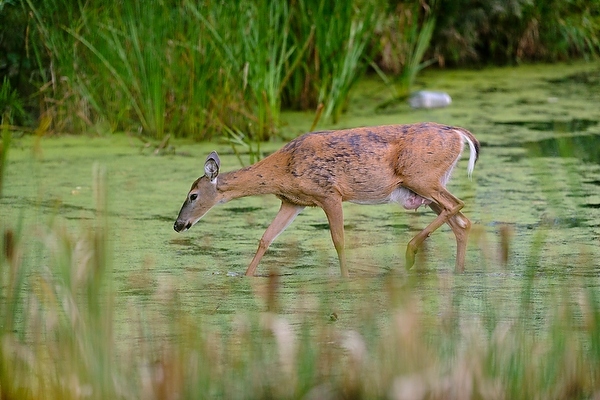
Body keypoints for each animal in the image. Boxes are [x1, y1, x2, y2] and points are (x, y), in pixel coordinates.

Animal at [172, 122, 478, 278]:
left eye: (193, 195)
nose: (177, 224)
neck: (284, 169)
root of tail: (460, 133)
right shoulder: (293, 201)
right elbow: (266, 238)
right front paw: (246, 276)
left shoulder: (330, 193)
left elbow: (339, 241)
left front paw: (345, 278)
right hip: (423, 187)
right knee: (462, 221)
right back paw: (457, 270)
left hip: (421, 177)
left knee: (457, 206)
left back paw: (411, 251)